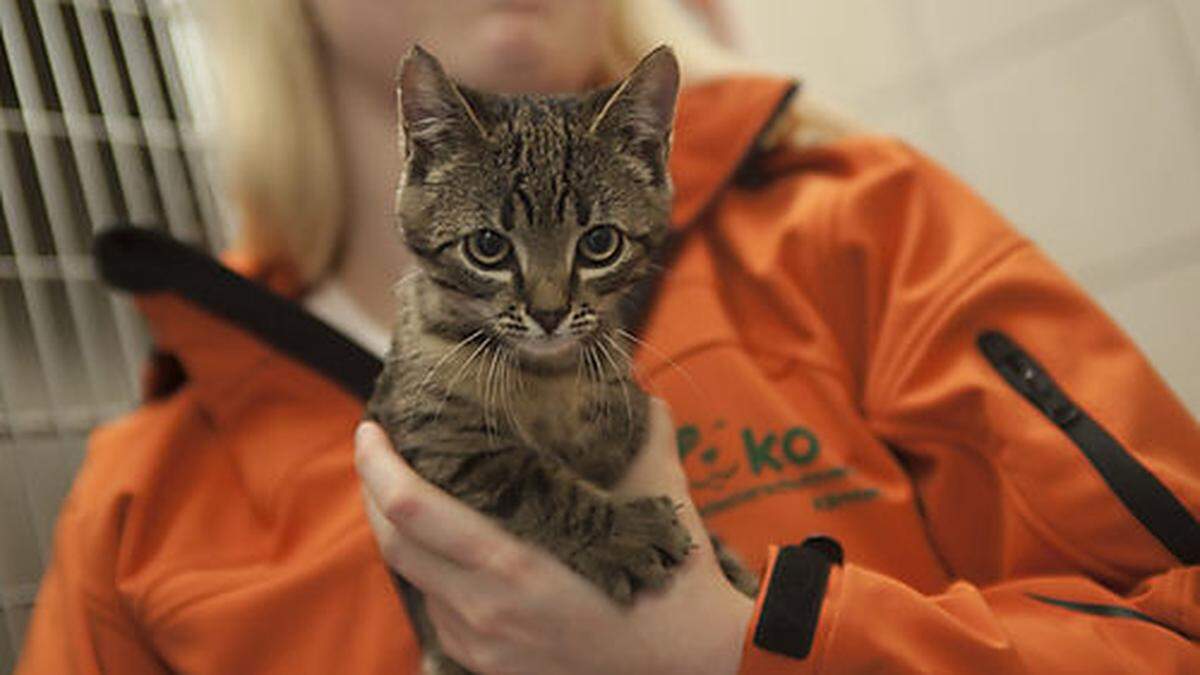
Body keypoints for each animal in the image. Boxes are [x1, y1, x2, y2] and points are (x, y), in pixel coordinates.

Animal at [364, 44, 748, 667]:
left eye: (599, 244)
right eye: (488, 247)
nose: (548, 313)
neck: (543, 374)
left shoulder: (623, 420)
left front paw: (726, 563)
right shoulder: (437, 439)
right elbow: (529, 477)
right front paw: (625, 533)